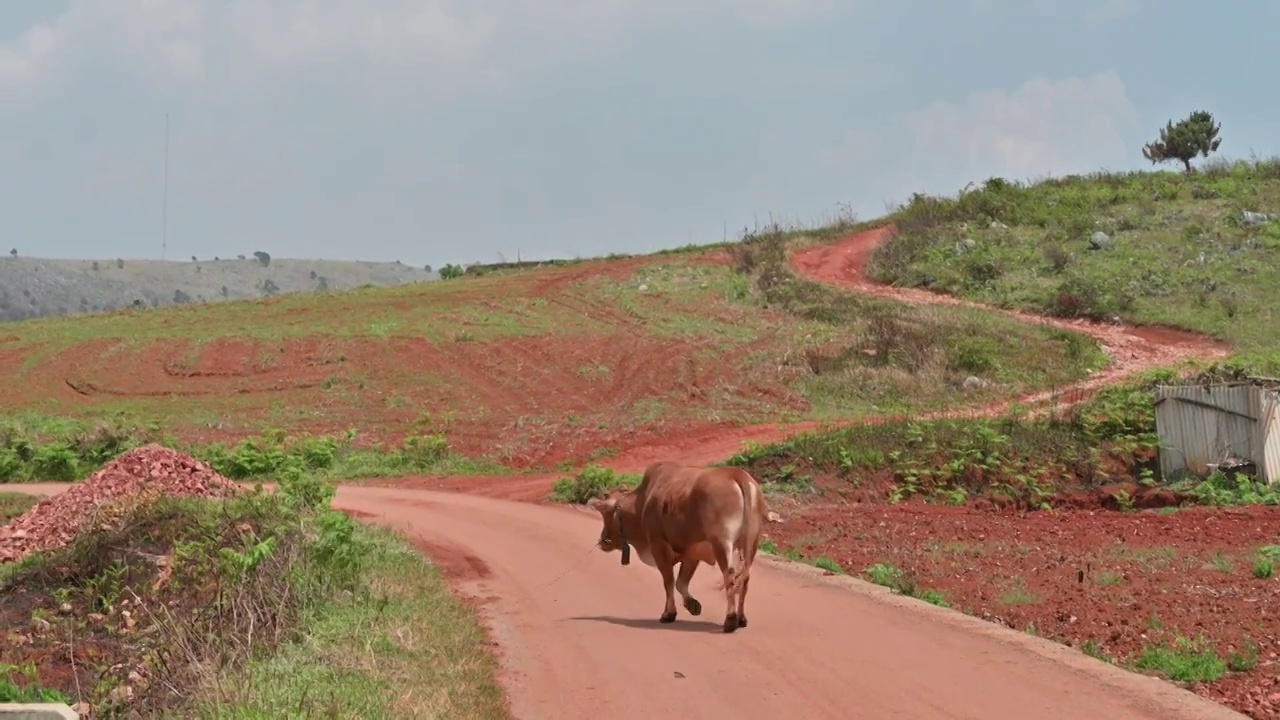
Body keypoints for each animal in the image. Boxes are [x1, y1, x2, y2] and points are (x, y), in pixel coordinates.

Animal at [591, 458, 768, 627]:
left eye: (606, 514)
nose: (602, 540)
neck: (642, 502)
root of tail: (738, 474)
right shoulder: (691, 554)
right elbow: (681, 583)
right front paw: (693, 605)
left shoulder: (659, 546)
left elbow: (669, 581)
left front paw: (668, 614)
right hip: (751, 543)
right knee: (744, 579)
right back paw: (741, 618)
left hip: (722, 543)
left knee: (730, 575)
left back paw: (730, 619)